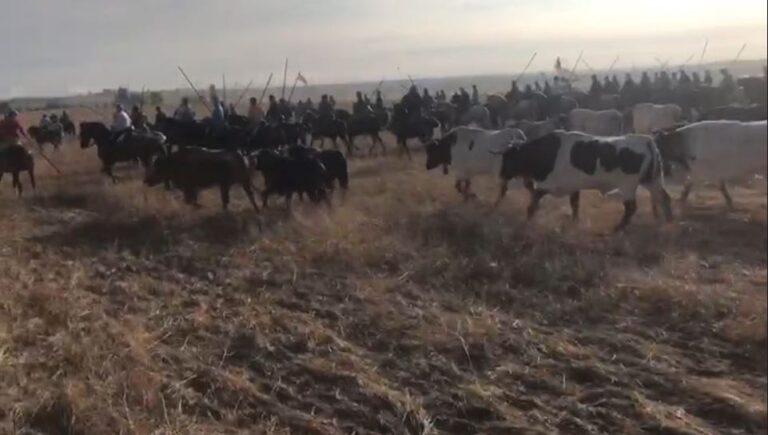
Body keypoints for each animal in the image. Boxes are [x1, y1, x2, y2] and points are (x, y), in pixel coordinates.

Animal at [498, 129, 672, 232]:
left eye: (508, 157)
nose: (501, 174)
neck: (548, 152)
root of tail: (647, 141)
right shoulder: (573, 187)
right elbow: (574, 205)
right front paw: (575, 221)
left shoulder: (546, 186)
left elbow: (532, 205)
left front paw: (526, 222)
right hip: (652, 180)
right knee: (665, 198)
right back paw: (669, 221)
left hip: (628, 185)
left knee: (631, 207)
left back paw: (618, 227)